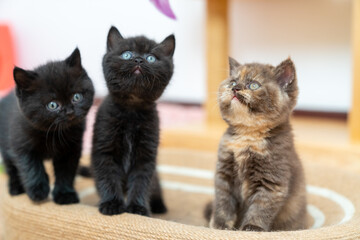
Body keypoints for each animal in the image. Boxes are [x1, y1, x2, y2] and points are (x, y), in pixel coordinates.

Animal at [0, 48, 95, 204]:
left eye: (76, 97)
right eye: (52, 105)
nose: (69, 111)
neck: (52, 133)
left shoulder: (71, 148)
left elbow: (66, 172)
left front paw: (65, 194)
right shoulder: (21, 145)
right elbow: (30, 167)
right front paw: (38, 191)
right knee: (11, 168)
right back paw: (15, 188)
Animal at [90, 26, 174, 216]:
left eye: (151, 58)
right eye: (127, 54)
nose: (138, 60)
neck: (131, 110)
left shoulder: (146, 153)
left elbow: (141, 181)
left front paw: (137, 208)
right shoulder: (104, 148)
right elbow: (108, 177)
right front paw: (112, 204)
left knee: (156, 186)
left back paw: (159, 206)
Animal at [210, 57, 308, 232]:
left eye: (253, 85)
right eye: (232, 82)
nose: (235, 88)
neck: (247, 137)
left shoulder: (272, 180)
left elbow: (261, 207)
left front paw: (252, 227)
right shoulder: (224, 173)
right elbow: (223, 201)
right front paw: (220, 225)